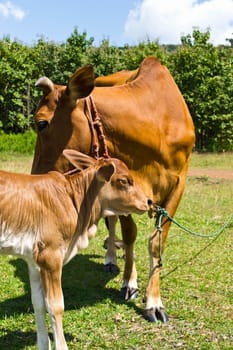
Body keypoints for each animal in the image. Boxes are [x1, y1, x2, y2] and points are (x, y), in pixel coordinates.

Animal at [0, 151, 149, 350]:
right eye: (124, 181)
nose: (148, 201)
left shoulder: (33, 260)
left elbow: (38, 302)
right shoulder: (51, 256)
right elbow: (55, 305)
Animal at [31, 56, 195, 322]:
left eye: (41, 123)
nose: (35, 178)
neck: (157, 123)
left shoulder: (179, 183)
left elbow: (156, 242)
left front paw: (154, 301)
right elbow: (129, 234)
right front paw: (129, 281)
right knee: (112, 223)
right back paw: (112, 259)